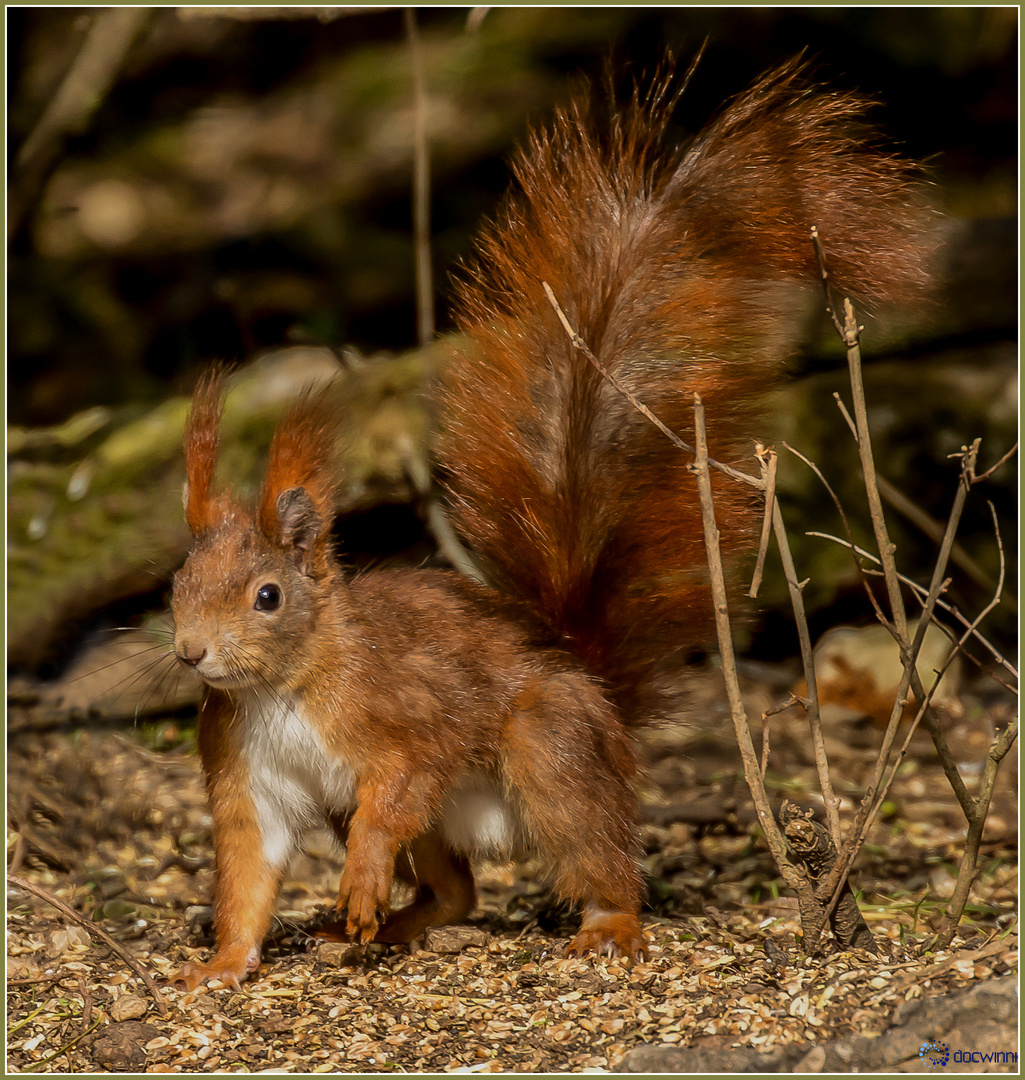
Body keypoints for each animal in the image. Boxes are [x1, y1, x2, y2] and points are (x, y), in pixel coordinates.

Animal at [166, 56, 928, 989]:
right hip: (452, 819)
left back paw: (599, 925)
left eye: (267, 596)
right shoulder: (249, 777)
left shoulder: (406, 719)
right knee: (459, 893)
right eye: (178, 584)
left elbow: (396, 789)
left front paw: (361, 879)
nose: (191, 653)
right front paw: (221, 966)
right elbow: (247, 873)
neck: (279, 689)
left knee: (598, 860)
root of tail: (595, 689)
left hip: (548, 751)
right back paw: (382, 927)